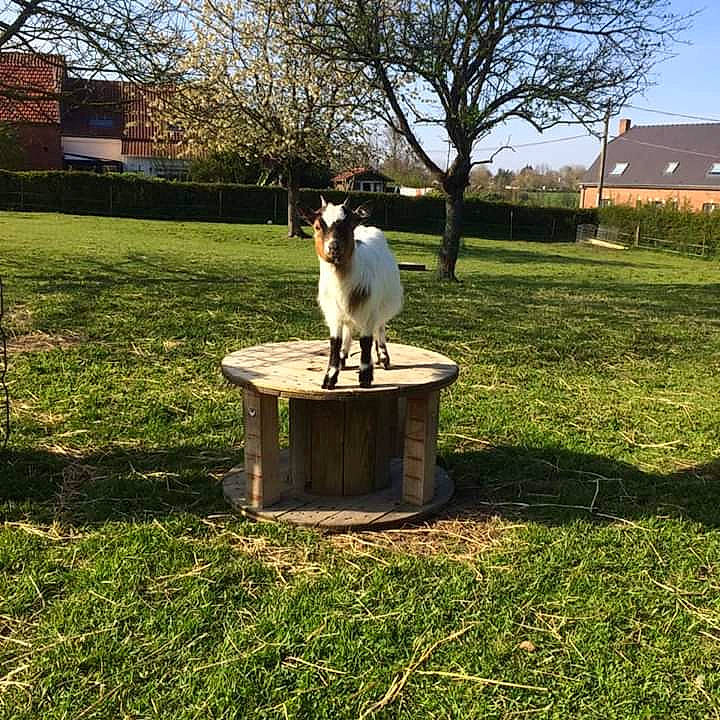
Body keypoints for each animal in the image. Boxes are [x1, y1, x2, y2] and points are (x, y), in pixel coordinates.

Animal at [301, 196, 403, 389]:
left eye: (349, 225)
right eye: (317, 226)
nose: (333, 247)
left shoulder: (369, 311)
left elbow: (365, 342)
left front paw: (365, 377)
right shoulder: (333, 313)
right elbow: (335, 342)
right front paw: (330, 378)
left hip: (382, 306)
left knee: (380, 327)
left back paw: (383, 357)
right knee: (348, 329)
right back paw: (343, 356)